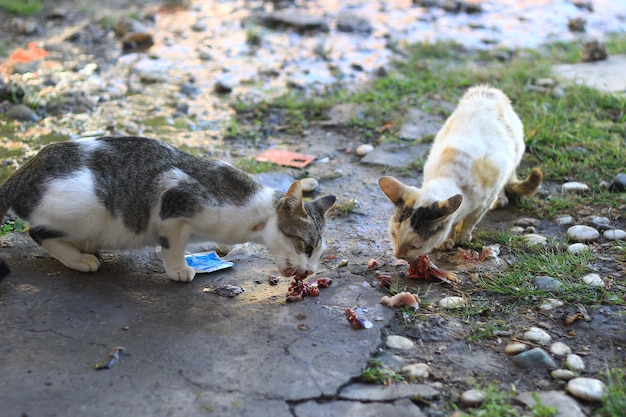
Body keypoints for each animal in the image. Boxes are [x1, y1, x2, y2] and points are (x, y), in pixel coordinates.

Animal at [0, 135, 336, 282]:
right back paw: (80, 259)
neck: (251, 218)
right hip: (82, 208)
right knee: (36, 232)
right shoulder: (172, 199)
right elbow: (172, 244)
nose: (310, 271)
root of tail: (23, 172)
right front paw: (178, 269)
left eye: (319, 254)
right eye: (306, 246)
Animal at [376, 83, 540, 260]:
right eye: (394, 235)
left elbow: (471, 218)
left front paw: (462, 235)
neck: (448, 176)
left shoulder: (486, 196)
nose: (398, 255)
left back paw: (500, 198)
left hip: (513, 154)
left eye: (415, 246)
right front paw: (446, 241)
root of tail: (489, 90)